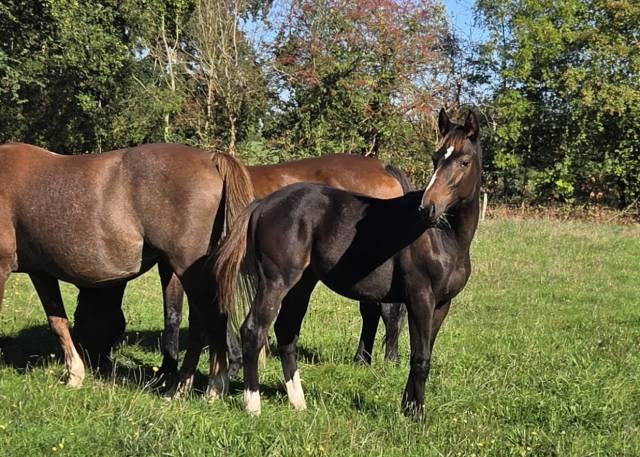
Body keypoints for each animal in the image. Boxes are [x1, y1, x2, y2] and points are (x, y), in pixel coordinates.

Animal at [0, 143, 253, 400]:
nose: (99, 364)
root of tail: (210, 158)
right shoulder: (41, 273)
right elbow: (57, 321)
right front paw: (75, 375)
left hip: (187, 269)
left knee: (207, 322)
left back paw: (203, 388)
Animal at [73, 154, 411, 378]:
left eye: (82, 316)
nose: (91, 363)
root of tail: (382, 167)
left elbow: (177, 313)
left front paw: (174, 368)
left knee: (387, 311)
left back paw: (389, 359)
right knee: (372, 311)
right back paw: (362, 359)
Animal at [214, 108, 482, 417]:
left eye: (464, 161)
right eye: (436, 158)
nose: (428, 207)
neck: (445, 239)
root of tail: (263, 204)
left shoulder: (441, 305)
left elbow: (422, 354)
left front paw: (408, 407)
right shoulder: (421, 300)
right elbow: (421, 357)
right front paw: (415, 415)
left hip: (301, 285)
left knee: (286, 332)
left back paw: (298, 402)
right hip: (276, 283)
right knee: (254, 330)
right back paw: (253, 405)